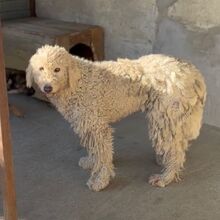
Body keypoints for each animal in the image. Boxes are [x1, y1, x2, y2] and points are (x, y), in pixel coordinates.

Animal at [26, 45, 206, 192]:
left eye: (57, 69)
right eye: (41, 68)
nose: (47, 88)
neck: (76, 82)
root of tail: (190, 70)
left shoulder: (97, 126)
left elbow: (103, 155)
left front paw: (100, 180)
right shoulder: (87, 124)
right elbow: (94, 149)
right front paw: (91, 162)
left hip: (164, 116)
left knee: (176, 149)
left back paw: (166, 177)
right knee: (177, 143)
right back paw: (165, 162)